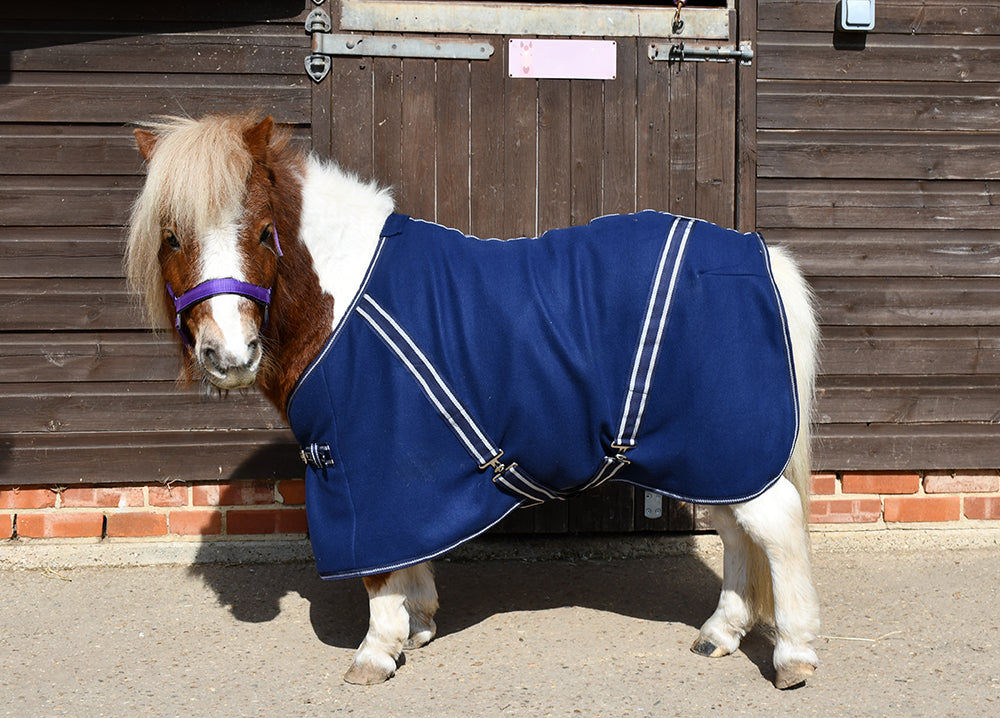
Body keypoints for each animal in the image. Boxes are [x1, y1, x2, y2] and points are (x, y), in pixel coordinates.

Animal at [126, 113, 821, 690]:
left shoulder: (364, 473)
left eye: (266, 231)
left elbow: (377, 571)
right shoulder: (401, 481)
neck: (342, 297)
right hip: (712, 456)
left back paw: (794, 654)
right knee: (736, 533)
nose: (229, 353)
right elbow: (407, 558)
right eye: (171, 237)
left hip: (725, 444)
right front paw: (417, 625)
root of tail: (759, 256)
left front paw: (377, 651)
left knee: (775, 526)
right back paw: (720, 634)